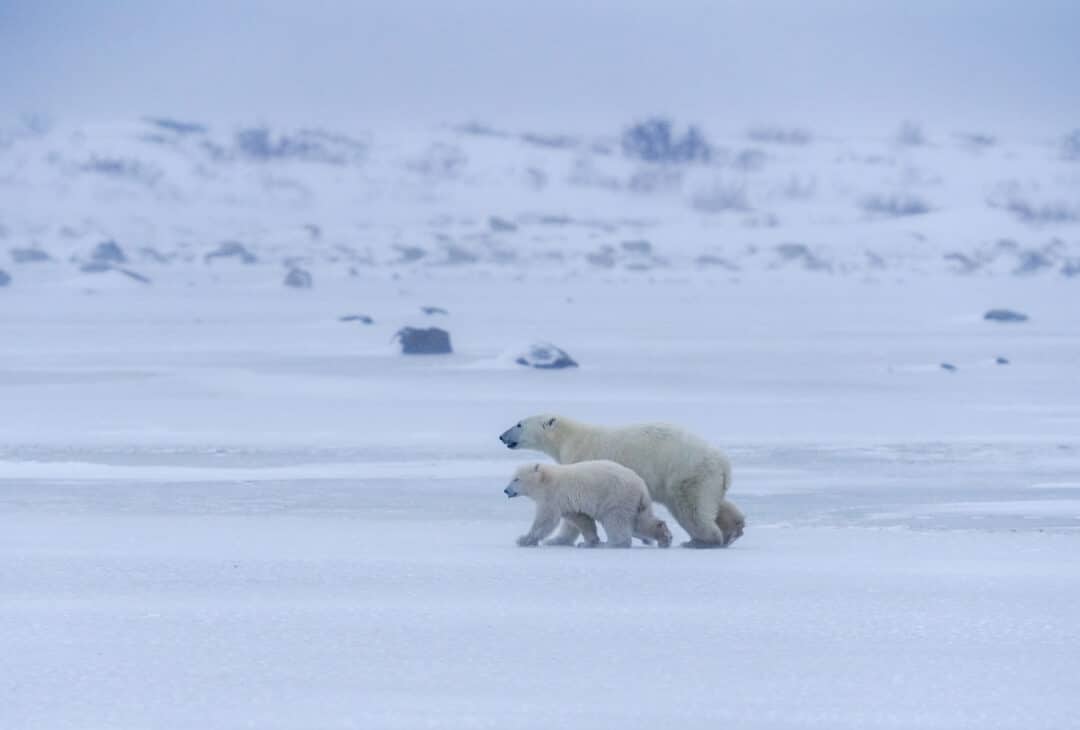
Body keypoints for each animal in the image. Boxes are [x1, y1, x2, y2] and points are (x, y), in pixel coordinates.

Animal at [503, 461, 673, 548]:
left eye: (516, 479)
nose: (506, 490)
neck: (546, 479)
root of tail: (641, 485)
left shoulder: (553, 496)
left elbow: (546, 520)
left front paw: (524, 539)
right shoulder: (569, 502)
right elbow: (580, 520)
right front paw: (582, 541)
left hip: (616, 497)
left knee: (616, 521)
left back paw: (611, 543)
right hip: (634, 502)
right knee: (641, 522)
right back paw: (665, 536)